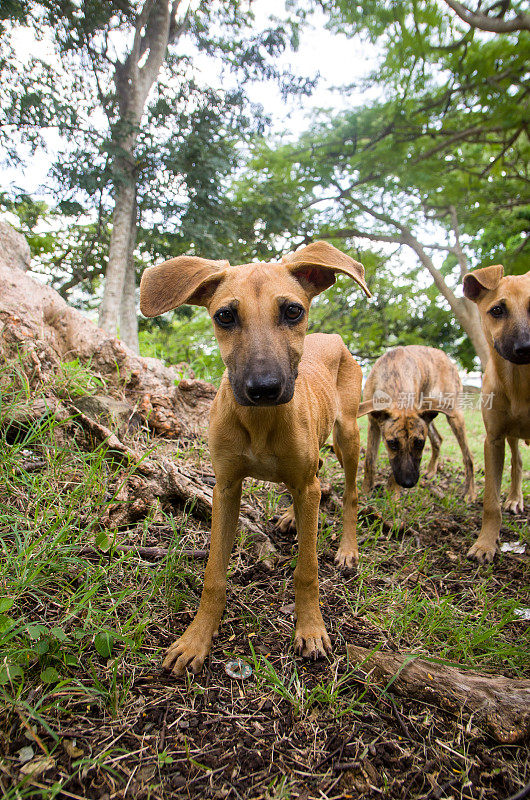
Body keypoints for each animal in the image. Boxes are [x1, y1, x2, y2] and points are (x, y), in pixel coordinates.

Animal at [140, 239, 372, 676]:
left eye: (293, 311)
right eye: (225, 316)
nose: (264, 388)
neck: (262, 422)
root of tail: (332, 337)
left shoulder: (302, 481)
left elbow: (307, 570)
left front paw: (310, 629)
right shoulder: (226, 487)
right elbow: (214, 573)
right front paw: (196, 639)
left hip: (347, 434)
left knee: (348, 493)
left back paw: (346, 549)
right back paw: (292, 517)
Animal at [354, 344, 474, 500]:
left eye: (420, 443)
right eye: (392, 444)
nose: (408, 483)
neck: (395, 377)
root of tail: (445, 356)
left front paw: (393, 495)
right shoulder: (373, 423)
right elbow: (370, 460)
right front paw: (366, 491)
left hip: (454, 415)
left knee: (468, 456)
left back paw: (470, 492)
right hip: (429, 413)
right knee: (438, 439)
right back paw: (431, 471)